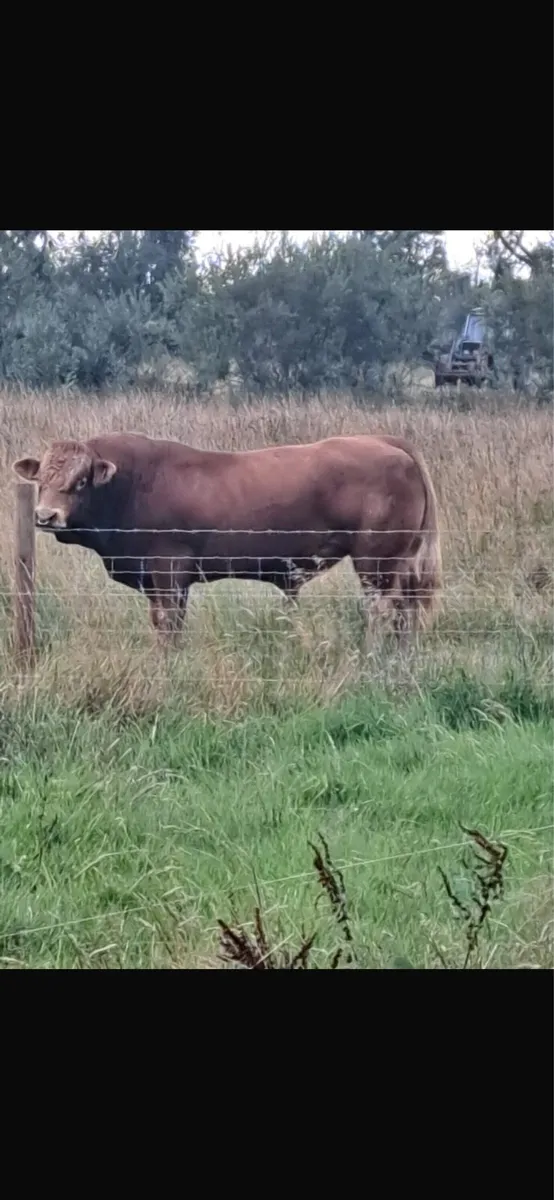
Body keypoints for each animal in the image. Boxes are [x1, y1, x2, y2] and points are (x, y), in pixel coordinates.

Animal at [12, 431, 442, 642]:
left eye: (81, 481)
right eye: (41, 479)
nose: (46, 516)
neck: (131, 485)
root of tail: (385, 441)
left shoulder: (169, 572)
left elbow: (170, 624)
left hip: (376, 562)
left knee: (383, 610)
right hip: (400, 562)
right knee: (407, 611)